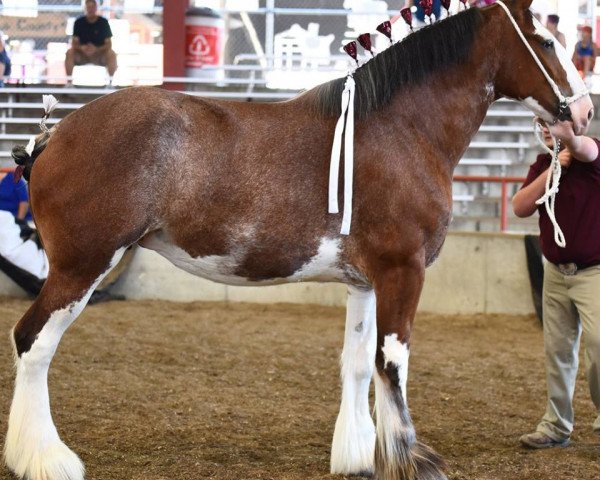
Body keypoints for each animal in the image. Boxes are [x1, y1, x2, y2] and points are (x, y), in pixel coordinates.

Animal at [2, 0, 592, 480]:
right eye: (545, 41)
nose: (584, 112)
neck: (401, 129)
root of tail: (54, 133)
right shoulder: (404, 270)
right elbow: (393, 362)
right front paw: (411, 458)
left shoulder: (365, 281)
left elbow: (359, 362)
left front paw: (360, 457)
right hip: (80, 268)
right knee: (33, 343)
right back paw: (47, 459)